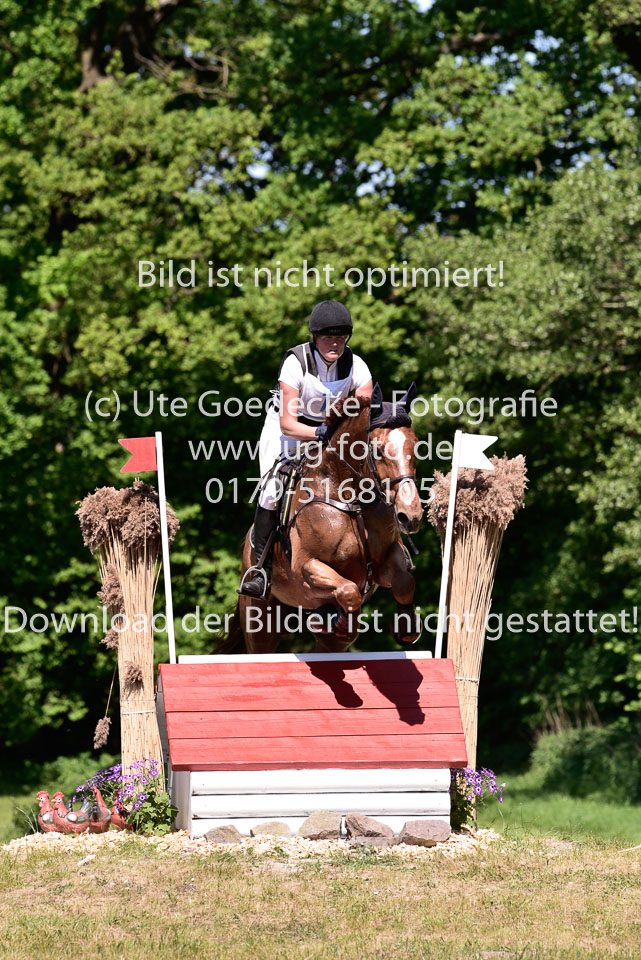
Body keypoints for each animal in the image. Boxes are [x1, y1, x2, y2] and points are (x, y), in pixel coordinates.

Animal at [220, 383, 424, 654]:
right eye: (378, 451)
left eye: (416, 446)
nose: (410, 516)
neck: (351, 500)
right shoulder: (306, 567)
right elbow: (349, 590)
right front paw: (343, 622)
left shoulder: (385, 560)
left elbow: (405, 580)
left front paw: (407, 628)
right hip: (260, 619)